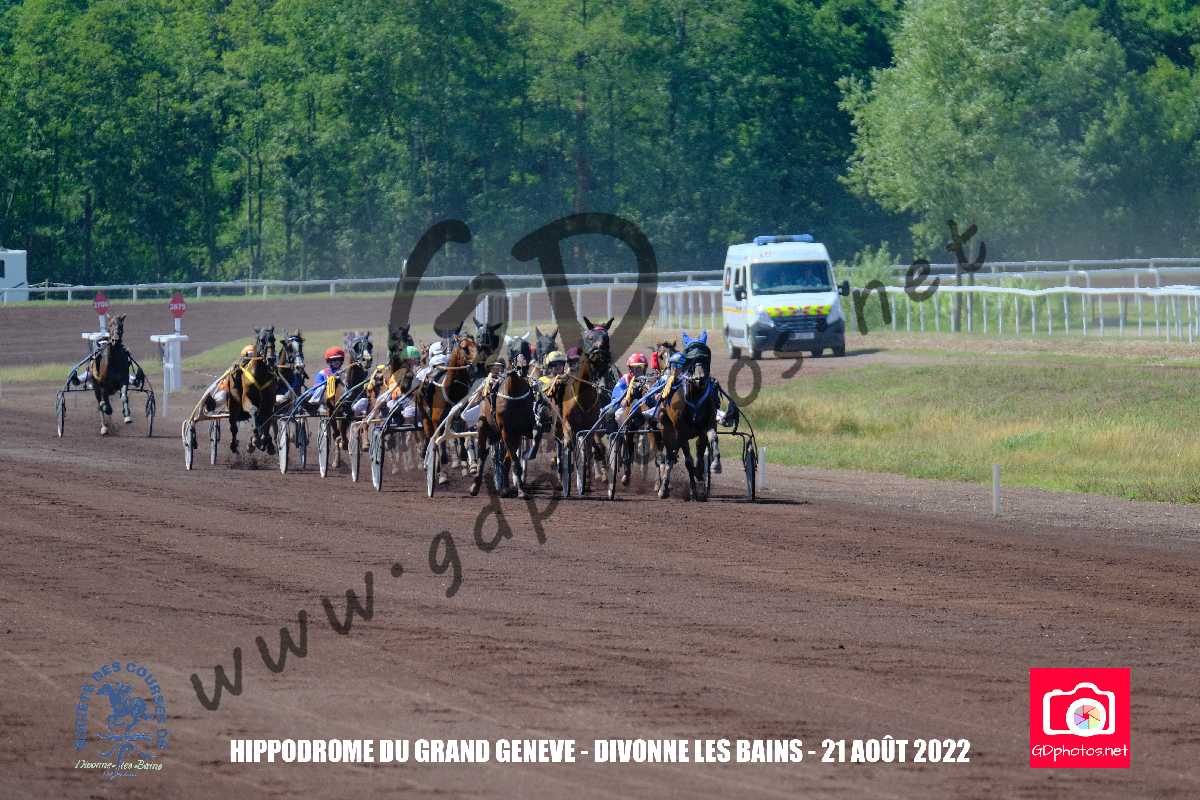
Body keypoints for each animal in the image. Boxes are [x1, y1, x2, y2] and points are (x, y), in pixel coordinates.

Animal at [228, 326, 279, 456]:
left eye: (273, 339)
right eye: (261, 340)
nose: (271, 359)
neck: (260, 376)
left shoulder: (269, 402)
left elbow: (267, 418)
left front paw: (265, 441)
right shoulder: (246, 399)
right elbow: (254, 410)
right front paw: (255, 440)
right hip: (233, 404)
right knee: (233, 426)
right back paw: (234, 445)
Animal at [655, 332, 719, 500]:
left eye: (704, 356)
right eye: (691, 357)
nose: (700, 378)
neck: (694, 395)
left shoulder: (707, 425)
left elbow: (709, 442)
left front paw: (713, 466)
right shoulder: (680, 430)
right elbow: (688, 461)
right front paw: (694, 491)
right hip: (667, 429)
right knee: (669, 457)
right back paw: (663, 488)